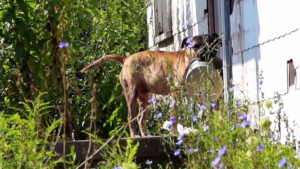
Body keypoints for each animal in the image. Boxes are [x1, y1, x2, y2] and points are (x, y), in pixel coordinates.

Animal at [81, 33, 221, 137]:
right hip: (131, 94)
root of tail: (125, 59)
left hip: (145, 100)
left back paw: (145, 134)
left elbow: (207, 112)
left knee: (140, 119)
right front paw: (174, 133)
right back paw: (134, 135)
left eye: (211, 44)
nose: (203, 52)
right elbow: (174, 116)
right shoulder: (175, 95)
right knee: (131, 116)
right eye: (195, 46)